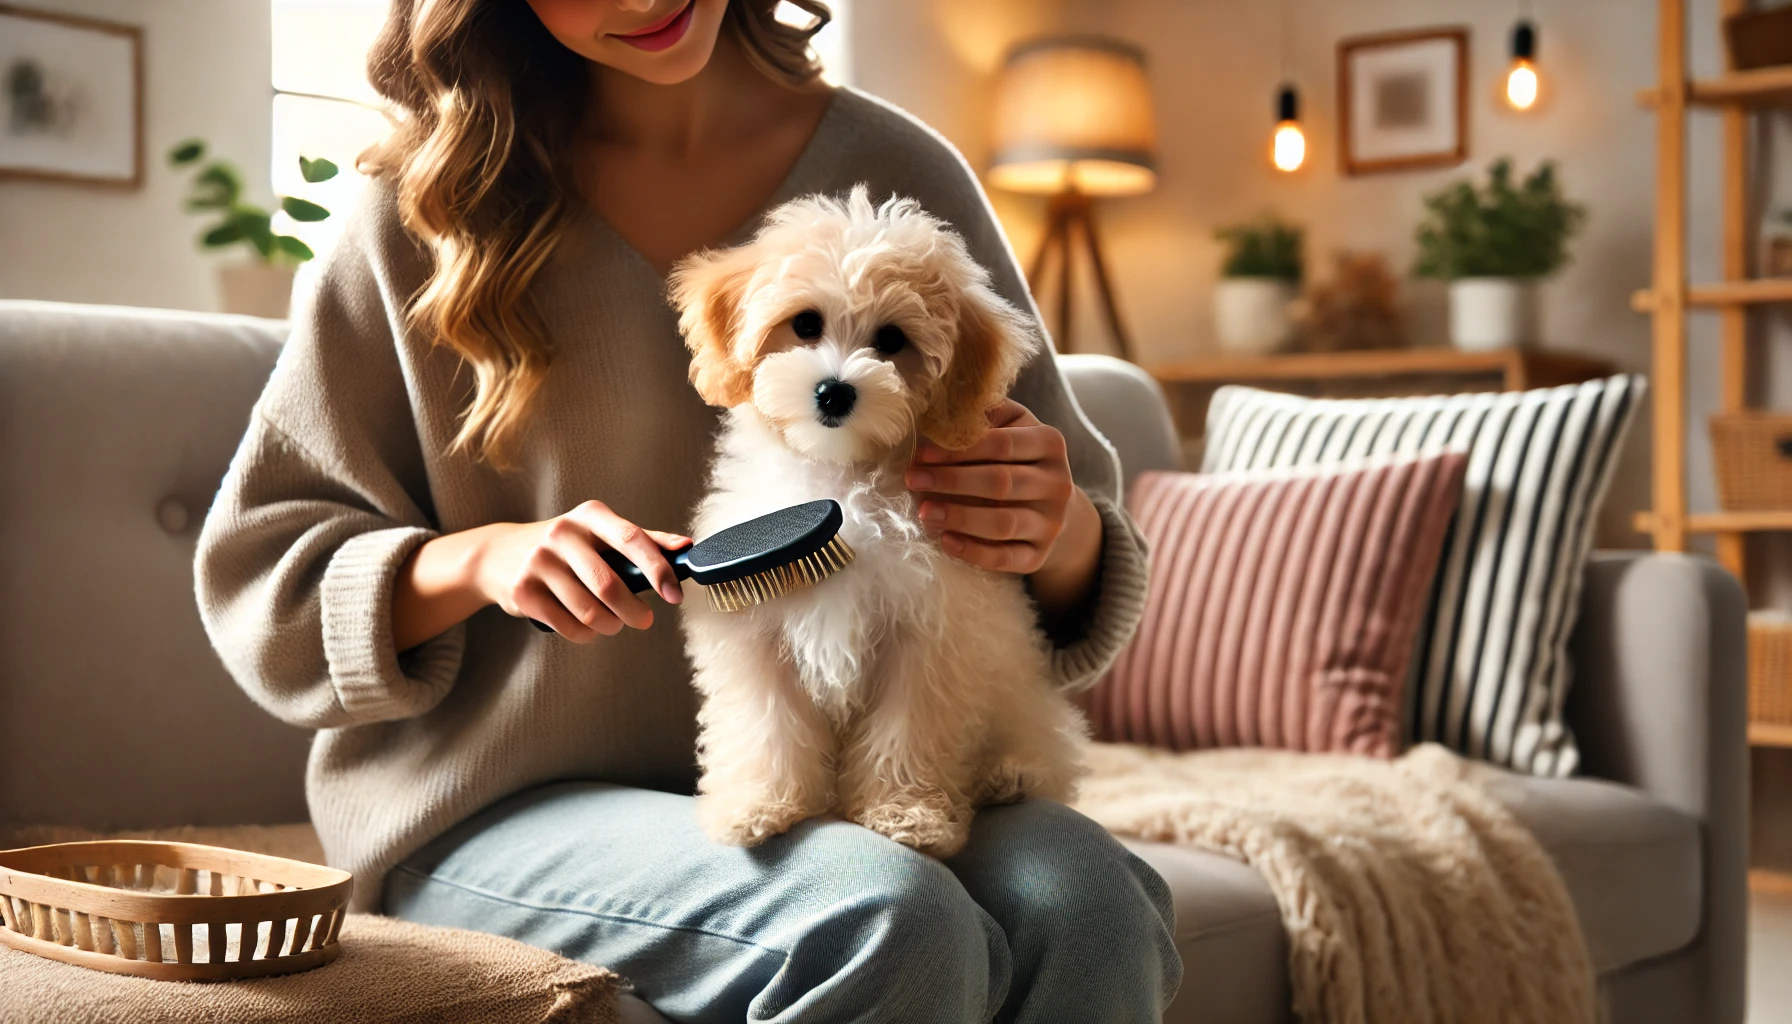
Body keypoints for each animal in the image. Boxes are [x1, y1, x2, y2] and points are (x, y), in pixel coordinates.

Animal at [673, 186, 1082, 857]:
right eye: (805, 324)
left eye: (892, 340)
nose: (834, 391)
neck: (842, 478)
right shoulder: (754, 626)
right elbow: (764, 720)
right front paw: (758, 803)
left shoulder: (928, 633)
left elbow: (908, 729)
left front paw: (906, 813)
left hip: (1021, 696)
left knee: (1047, 745)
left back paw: (1012, 772)